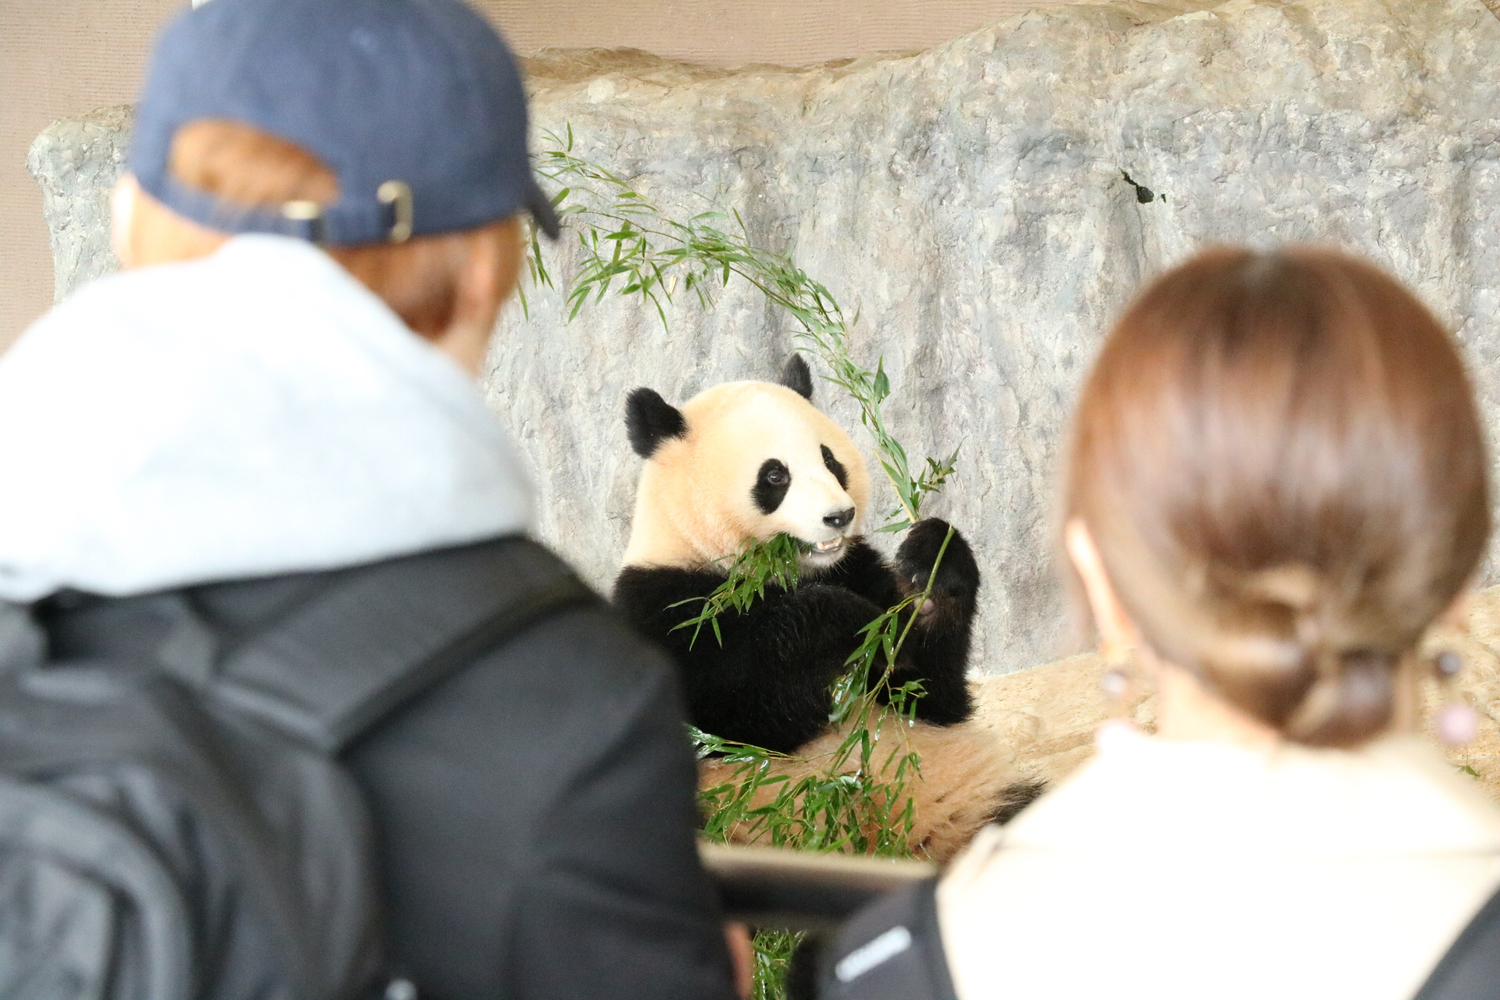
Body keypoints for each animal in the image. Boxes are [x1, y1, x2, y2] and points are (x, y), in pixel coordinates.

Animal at [609, 353, 1032, 863]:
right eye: (775, 476)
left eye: (831, 460)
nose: (839, 516)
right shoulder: (665, 609)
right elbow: (741, 710)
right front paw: (852, 622)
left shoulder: (854, 568)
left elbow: (927, 690)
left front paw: (929, 561)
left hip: (969, 797)